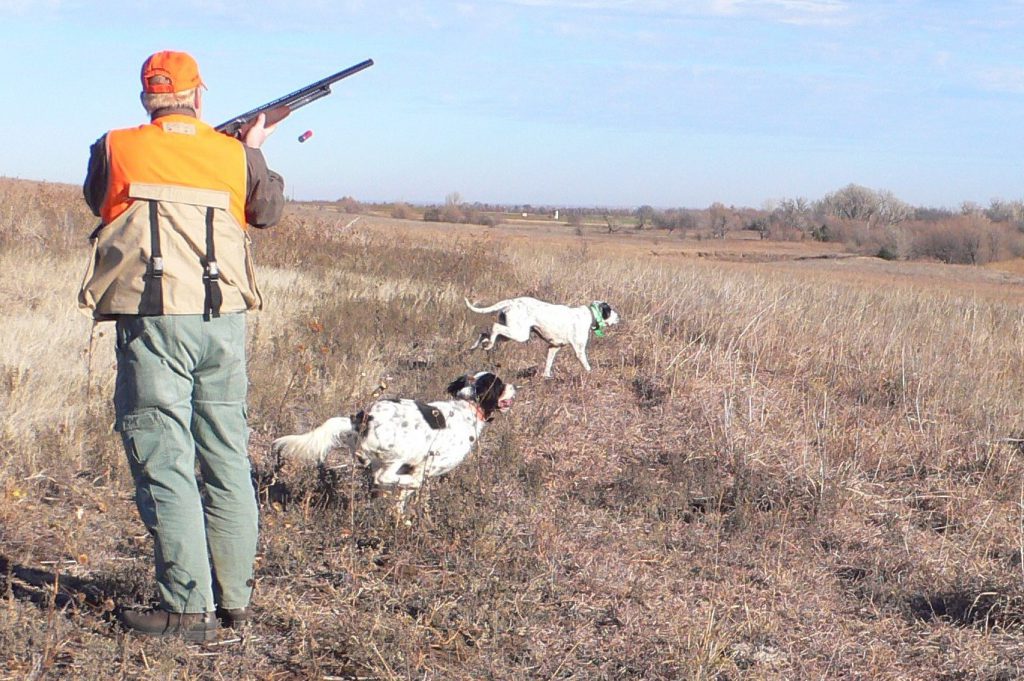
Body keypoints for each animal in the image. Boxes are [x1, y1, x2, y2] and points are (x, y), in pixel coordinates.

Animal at [272, 372, 516, 509]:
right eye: (500, 384)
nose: (515, 386)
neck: (467, 406)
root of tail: (362, 418)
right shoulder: (427, 464)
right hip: (398, 454)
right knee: (383, 477)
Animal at [468, 294, 618, 376]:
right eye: (610, 310)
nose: (619, 317)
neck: (590, 314)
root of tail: (512, 301)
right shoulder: (580, 351)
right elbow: (587, 366)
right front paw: (592, 374)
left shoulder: (553, 347)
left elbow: (548, 364)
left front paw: (546, 377)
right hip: (520, 333)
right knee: (495, 327)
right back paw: (487, 345)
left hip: (510, 333)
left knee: (484, 333)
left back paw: (478, 346)